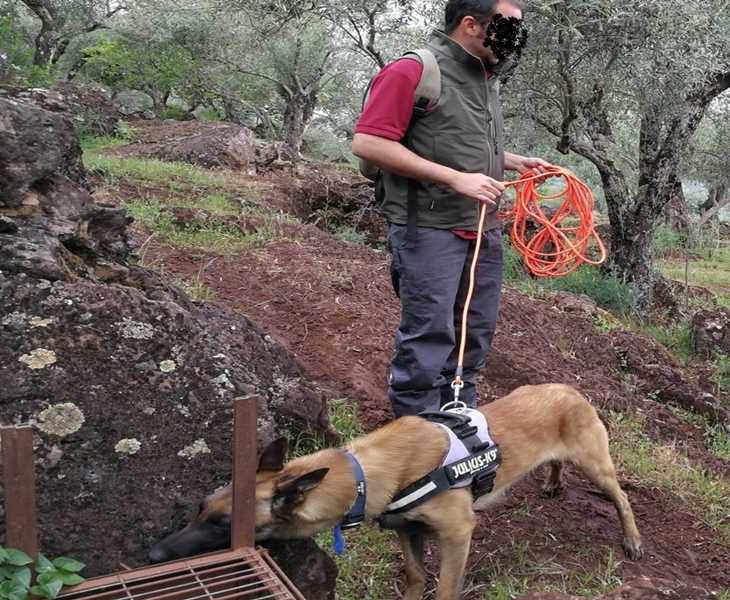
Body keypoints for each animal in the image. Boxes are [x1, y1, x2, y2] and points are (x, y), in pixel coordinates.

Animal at [148, 384, 644, 600]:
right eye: (200, 509)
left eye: (223, 524)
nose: (154, 555)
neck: (363, 474)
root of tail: (569, 388)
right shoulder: (407, 530)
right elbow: (415, 574)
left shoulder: (457, 534)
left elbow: (444, 588)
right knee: (557, 464)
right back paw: (553, 482)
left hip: (597, 466)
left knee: (621, 498)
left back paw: (633, 539)